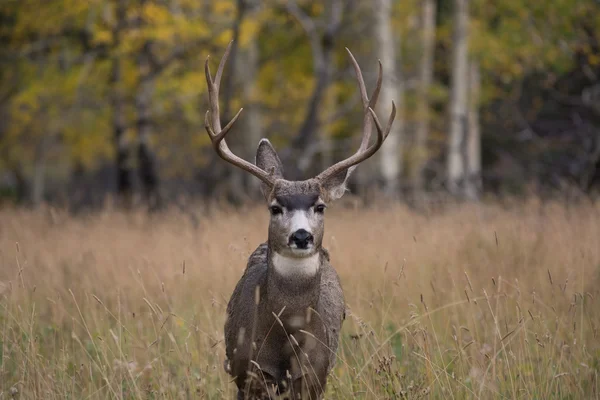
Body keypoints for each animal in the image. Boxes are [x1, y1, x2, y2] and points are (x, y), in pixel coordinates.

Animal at [204, 41, 396, 400]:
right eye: (274, 208)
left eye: (320, 206)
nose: (302, 236)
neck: (284, 337)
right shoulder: (249, 373)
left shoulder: (314, 375)